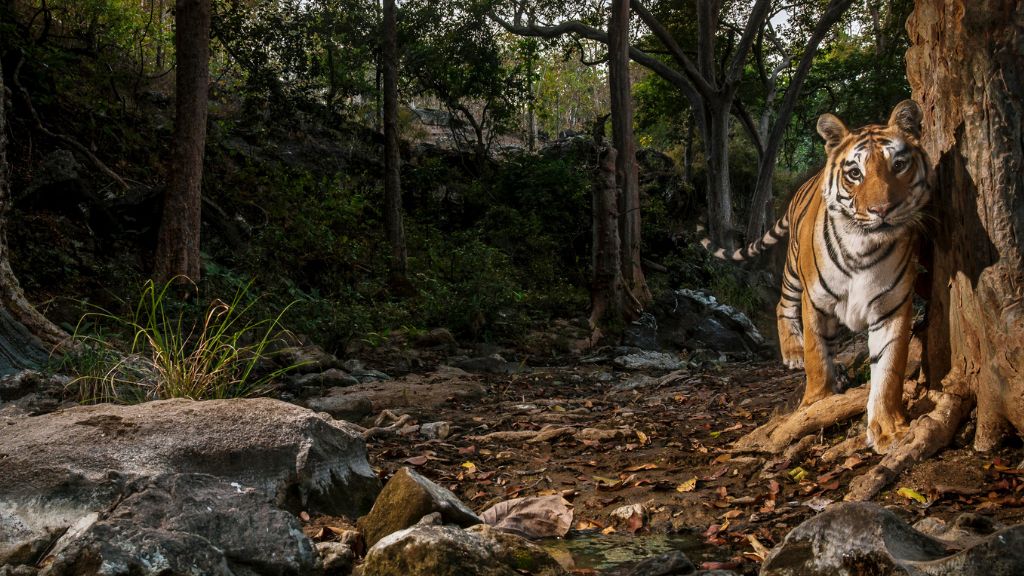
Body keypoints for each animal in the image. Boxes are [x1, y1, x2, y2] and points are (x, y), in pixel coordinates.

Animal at [701, 100, 932, 454]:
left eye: (899, 165)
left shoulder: (892, 307)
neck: (864, 248)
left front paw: (888, 429)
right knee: (783, 305)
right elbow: (816, 356)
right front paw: (815, 403)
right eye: (855, 173)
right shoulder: (817, 301)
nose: (881, 210)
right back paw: (794, 354)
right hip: (793, 270)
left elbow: (889, 367)